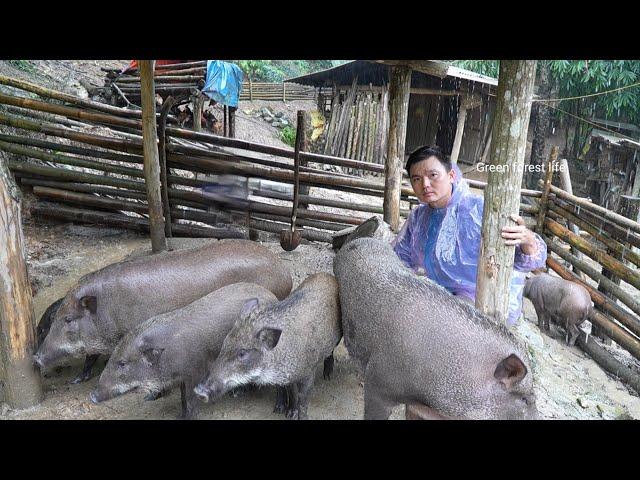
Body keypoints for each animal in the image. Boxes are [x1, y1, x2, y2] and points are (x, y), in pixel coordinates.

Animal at [33, 239, 294, 382]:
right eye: (55, 319)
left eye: (68, 319)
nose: (35, 357)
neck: (107, 310)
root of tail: (285, 271)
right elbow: (90, 356)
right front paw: (77, 380)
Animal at [90, 284, 280, 418]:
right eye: (112, 358)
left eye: (122, 363)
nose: (92, 396)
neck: (168, 356)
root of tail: (271, 294)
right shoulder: (182, 377)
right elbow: (182, 399)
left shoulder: (194, 373)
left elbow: (189, 400)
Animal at [195, 274, 342, 420]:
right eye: (224, 344)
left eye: (242, 353)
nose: (198, 391)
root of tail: (328, 276)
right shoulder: (287, 378)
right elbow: (289, 391)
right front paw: (281, 411)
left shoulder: (308, 373)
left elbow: (303, 402)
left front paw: (294, 415)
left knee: (331, 352)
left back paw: (328, 376)